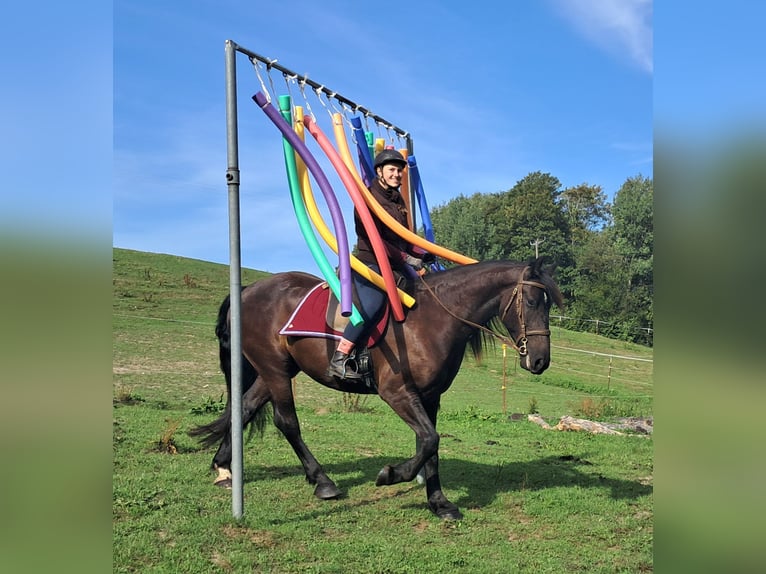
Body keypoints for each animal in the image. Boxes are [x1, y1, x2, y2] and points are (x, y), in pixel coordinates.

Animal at [190, 257, 563, 520]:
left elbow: (430, 446)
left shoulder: (431, 398)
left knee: (245, 407)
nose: (540, 360)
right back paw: (323, 482)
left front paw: (439, 503)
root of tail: (248, 290)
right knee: (287, 423)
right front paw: (392, 474)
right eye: (533, 302)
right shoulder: (396, 393)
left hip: (276, 370)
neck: (431, 320)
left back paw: (223, 468)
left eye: (548, 304)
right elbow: (429, 440)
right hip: (275, 370)